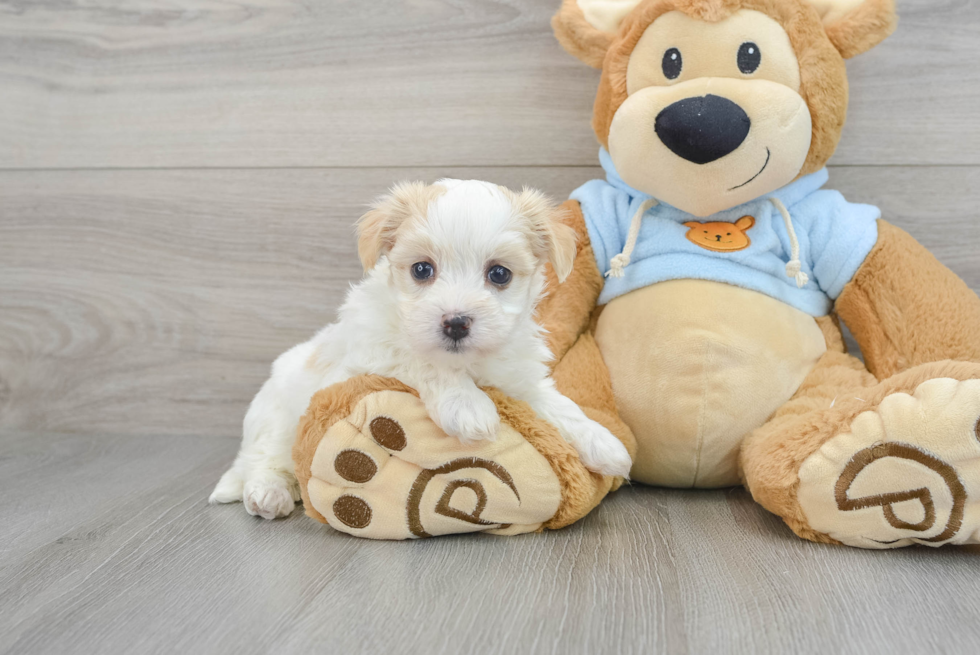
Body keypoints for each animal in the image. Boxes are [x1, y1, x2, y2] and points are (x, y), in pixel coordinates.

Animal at [211, 178, 632, 516]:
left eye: (499, 273)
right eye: (421, 269)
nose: (456, 323)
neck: (468, 364)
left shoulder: (521, 379)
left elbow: (558, 405)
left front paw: (602, 443)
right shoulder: (369, 355)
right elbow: (419, 359)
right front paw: (467, 405)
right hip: (276, 418)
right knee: (263, 458)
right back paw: (269, 493)